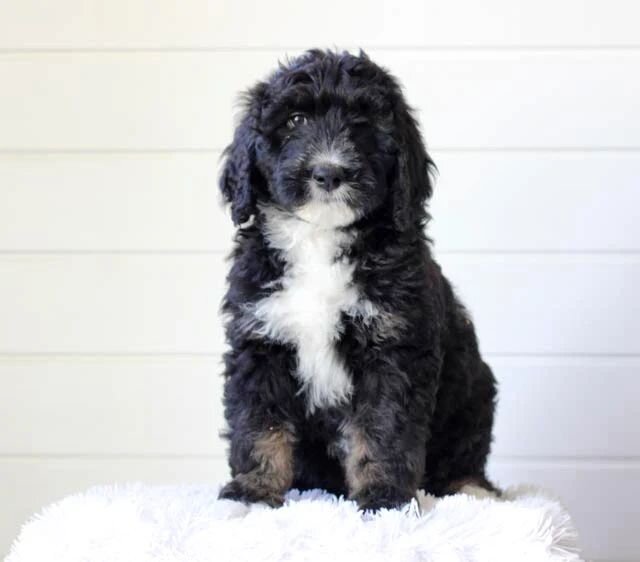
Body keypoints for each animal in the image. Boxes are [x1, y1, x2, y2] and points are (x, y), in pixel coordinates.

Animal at [218, 50, 498, 510]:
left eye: (364, 123)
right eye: (295, 120)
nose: (329, 173)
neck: (320, 236)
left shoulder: (393, 345)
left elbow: (383, 429)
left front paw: (382, 497)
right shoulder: (260, 340)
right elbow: (260, 424)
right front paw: (254, 490)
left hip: (474, 396)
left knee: (463, 458)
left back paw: (473, 489)